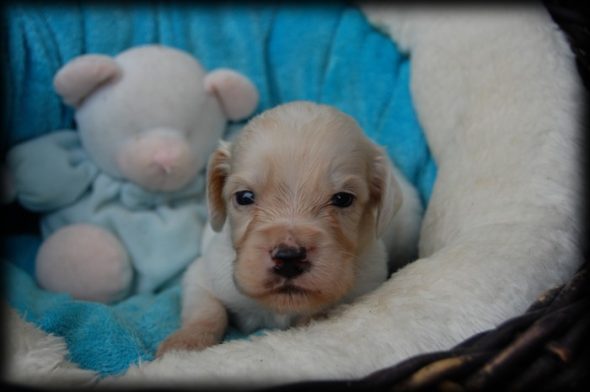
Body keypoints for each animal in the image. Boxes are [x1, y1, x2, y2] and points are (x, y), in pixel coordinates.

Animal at [157, 101, 426, 356]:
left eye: (343, 199)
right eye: (244, 197)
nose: (289, 258)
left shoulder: (363, 287)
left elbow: (321, 313)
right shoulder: (204, 275)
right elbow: (206, 311)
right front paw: (184, 345)